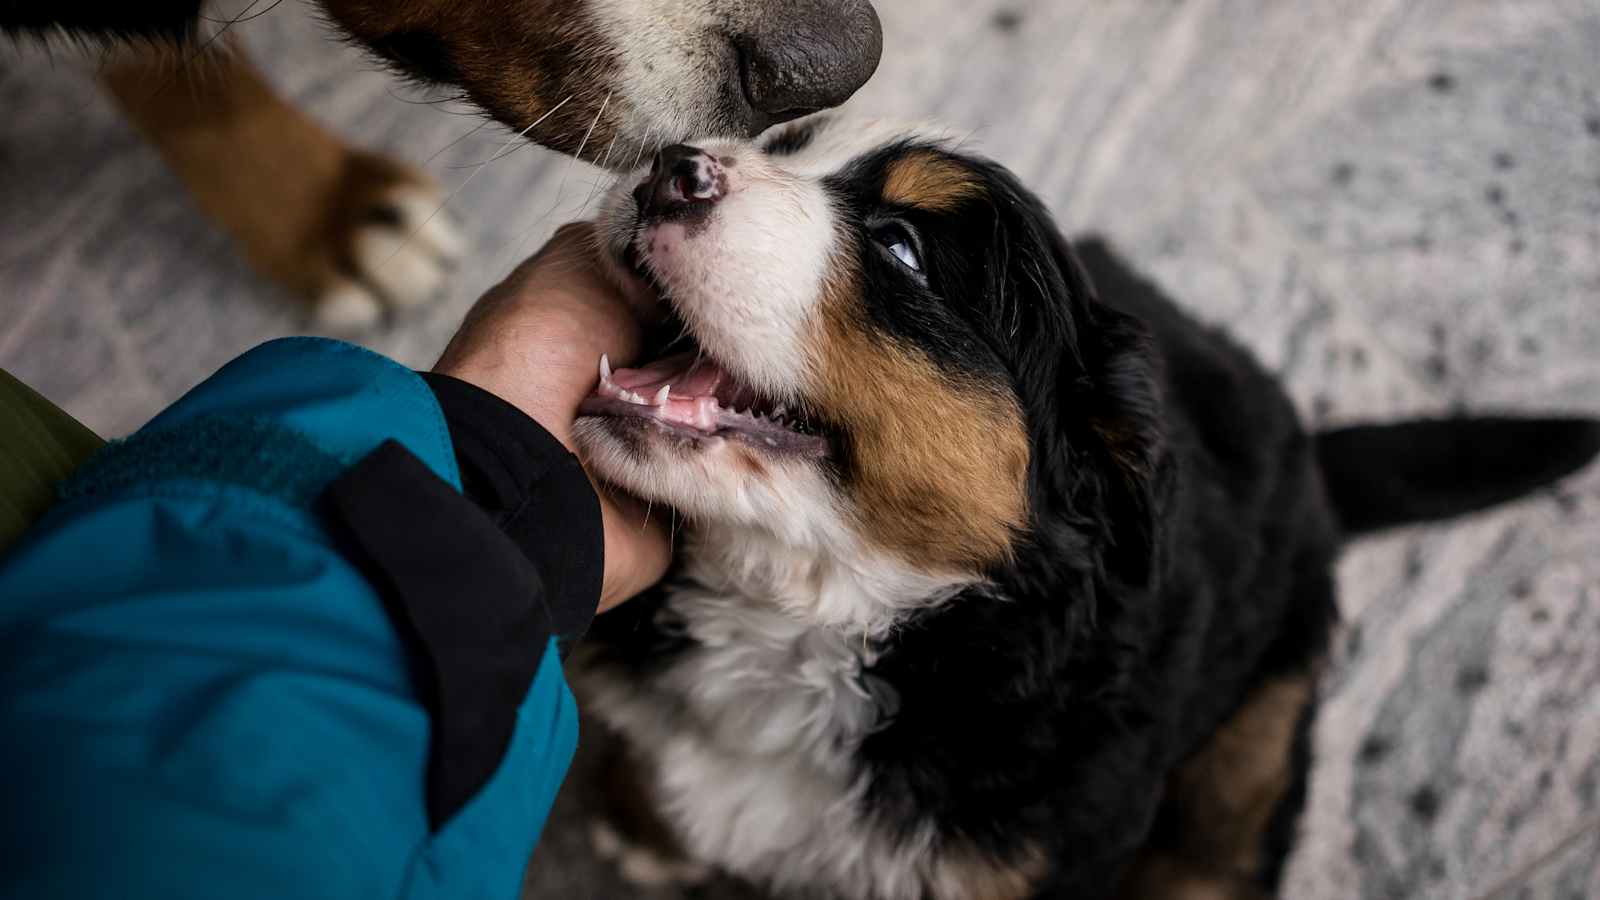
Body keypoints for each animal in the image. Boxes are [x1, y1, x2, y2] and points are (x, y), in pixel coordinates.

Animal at [569, 119, 1593, 896]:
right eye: (783, 142)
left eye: (902, 248)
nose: (670, 167)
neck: (804, 625)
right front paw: (640, 825)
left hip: (1266, 694)